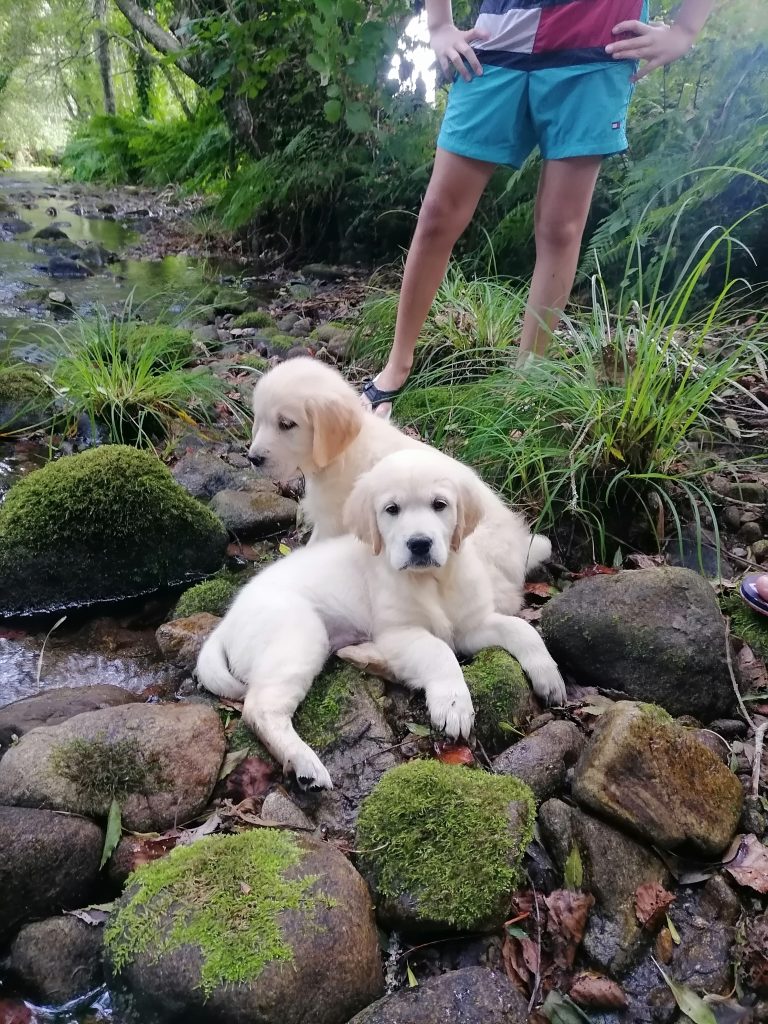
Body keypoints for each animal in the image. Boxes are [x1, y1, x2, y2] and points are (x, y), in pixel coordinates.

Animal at [196, 449, 566, 790]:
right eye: (392, 510)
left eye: (440, 504)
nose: (419, 544)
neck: (432, 580)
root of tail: (226, 622)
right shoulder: (399, 631)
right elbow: (439, 652)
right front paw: (453, 705)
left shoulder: (471, 626)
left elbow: (521, 629)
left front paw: (550, 677)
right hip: (299, 633)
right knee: (260, 708)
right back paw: (304, 763)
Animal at [247, 357, 549, 615]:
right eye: (259, 420)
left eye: (286, 424)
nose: (253, 459)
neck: (344, 453)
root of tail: (521, 551)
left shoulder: (334, 523)